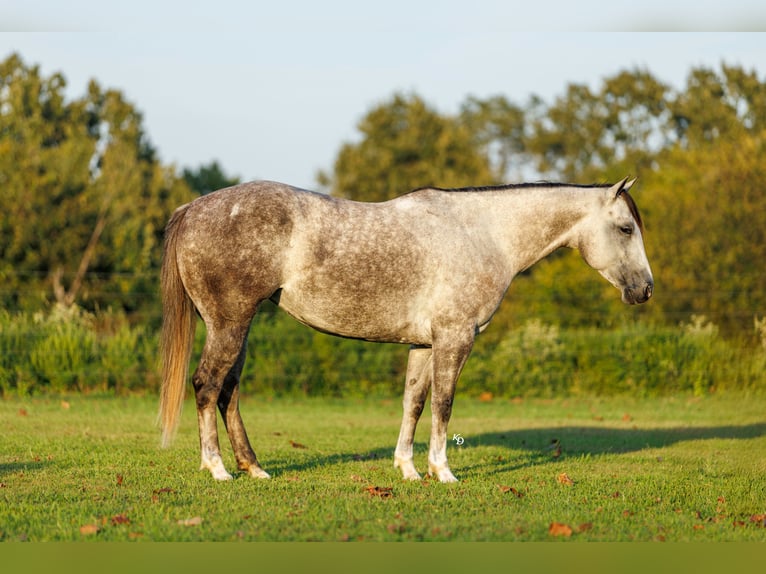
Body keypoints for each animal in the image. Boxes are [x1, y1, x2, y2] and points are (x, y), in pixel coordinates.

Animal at [159, 177, 653, 483]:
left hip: (238, 327)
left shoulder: (423, 343)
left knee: (229, 391)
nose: (645, 289)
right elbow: (443, 404)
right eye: (626, 228)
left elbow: (413, 403)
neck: (483, 233)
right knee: (206, 385)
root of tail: (193, 208)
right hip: (230, 324)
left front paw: (409, 469)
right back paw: (217, 468)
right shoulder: (455, 337)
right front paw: (443, 471)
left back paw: (254, 467)